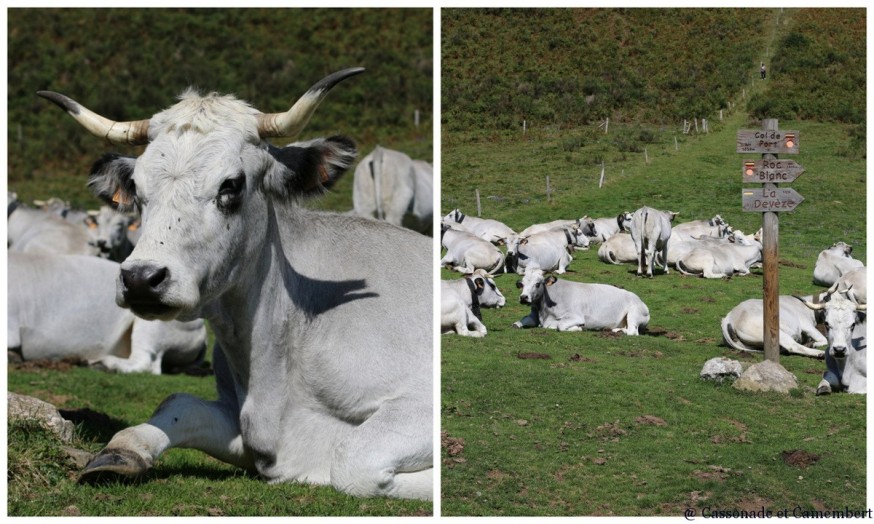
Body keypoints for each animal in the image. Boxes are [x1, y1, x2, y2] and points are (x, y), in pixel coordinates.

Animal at [40, 68, 432, 500]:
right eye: (138, 191)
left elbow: (352, 463)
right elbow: (176, 404)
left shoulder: (418, 400)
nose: (141, 278)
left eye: (231, 185)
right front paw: (119, 454)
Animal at [510, 268, 648, 334]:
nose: (523, 297)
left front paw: (578, 328)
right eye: (521, 284)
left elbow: (560, 326)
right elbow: (516, 323)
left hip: (634, 314)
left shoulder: (576, 317)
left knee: (632, 331)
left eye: (538, 284)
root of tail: (640, 300)